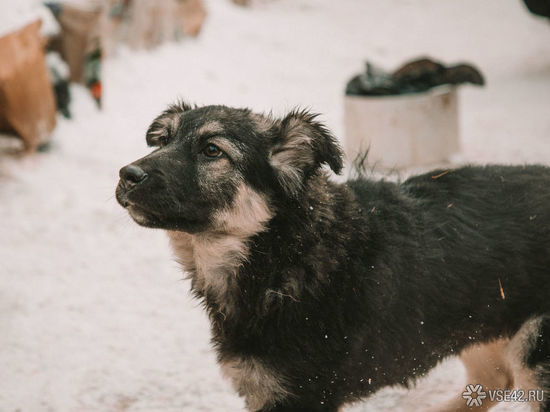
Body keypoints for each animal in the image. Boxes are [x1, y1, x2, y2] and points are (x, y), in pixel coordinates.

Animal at [116, 101, 550, 410]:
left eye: (211, 150)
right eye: (162, 141)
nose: (126, 175)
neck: (284, 252)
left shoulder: (303, 395)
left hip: (533, 354)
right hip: (479, 323)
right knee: (495, 380)